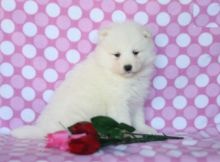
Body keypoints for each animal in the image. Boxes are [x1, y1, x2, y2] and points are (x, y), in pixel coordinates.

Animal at [12, 20, 156, 139]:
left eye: (135, 52)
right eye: (117, 54)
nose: (128, 67)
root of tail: (44, 129)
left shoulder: (137, 100)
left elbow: (138, 119)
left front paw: (146, 130)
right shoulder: (118, 102)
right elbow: (124, 121)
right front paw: (128, 134)